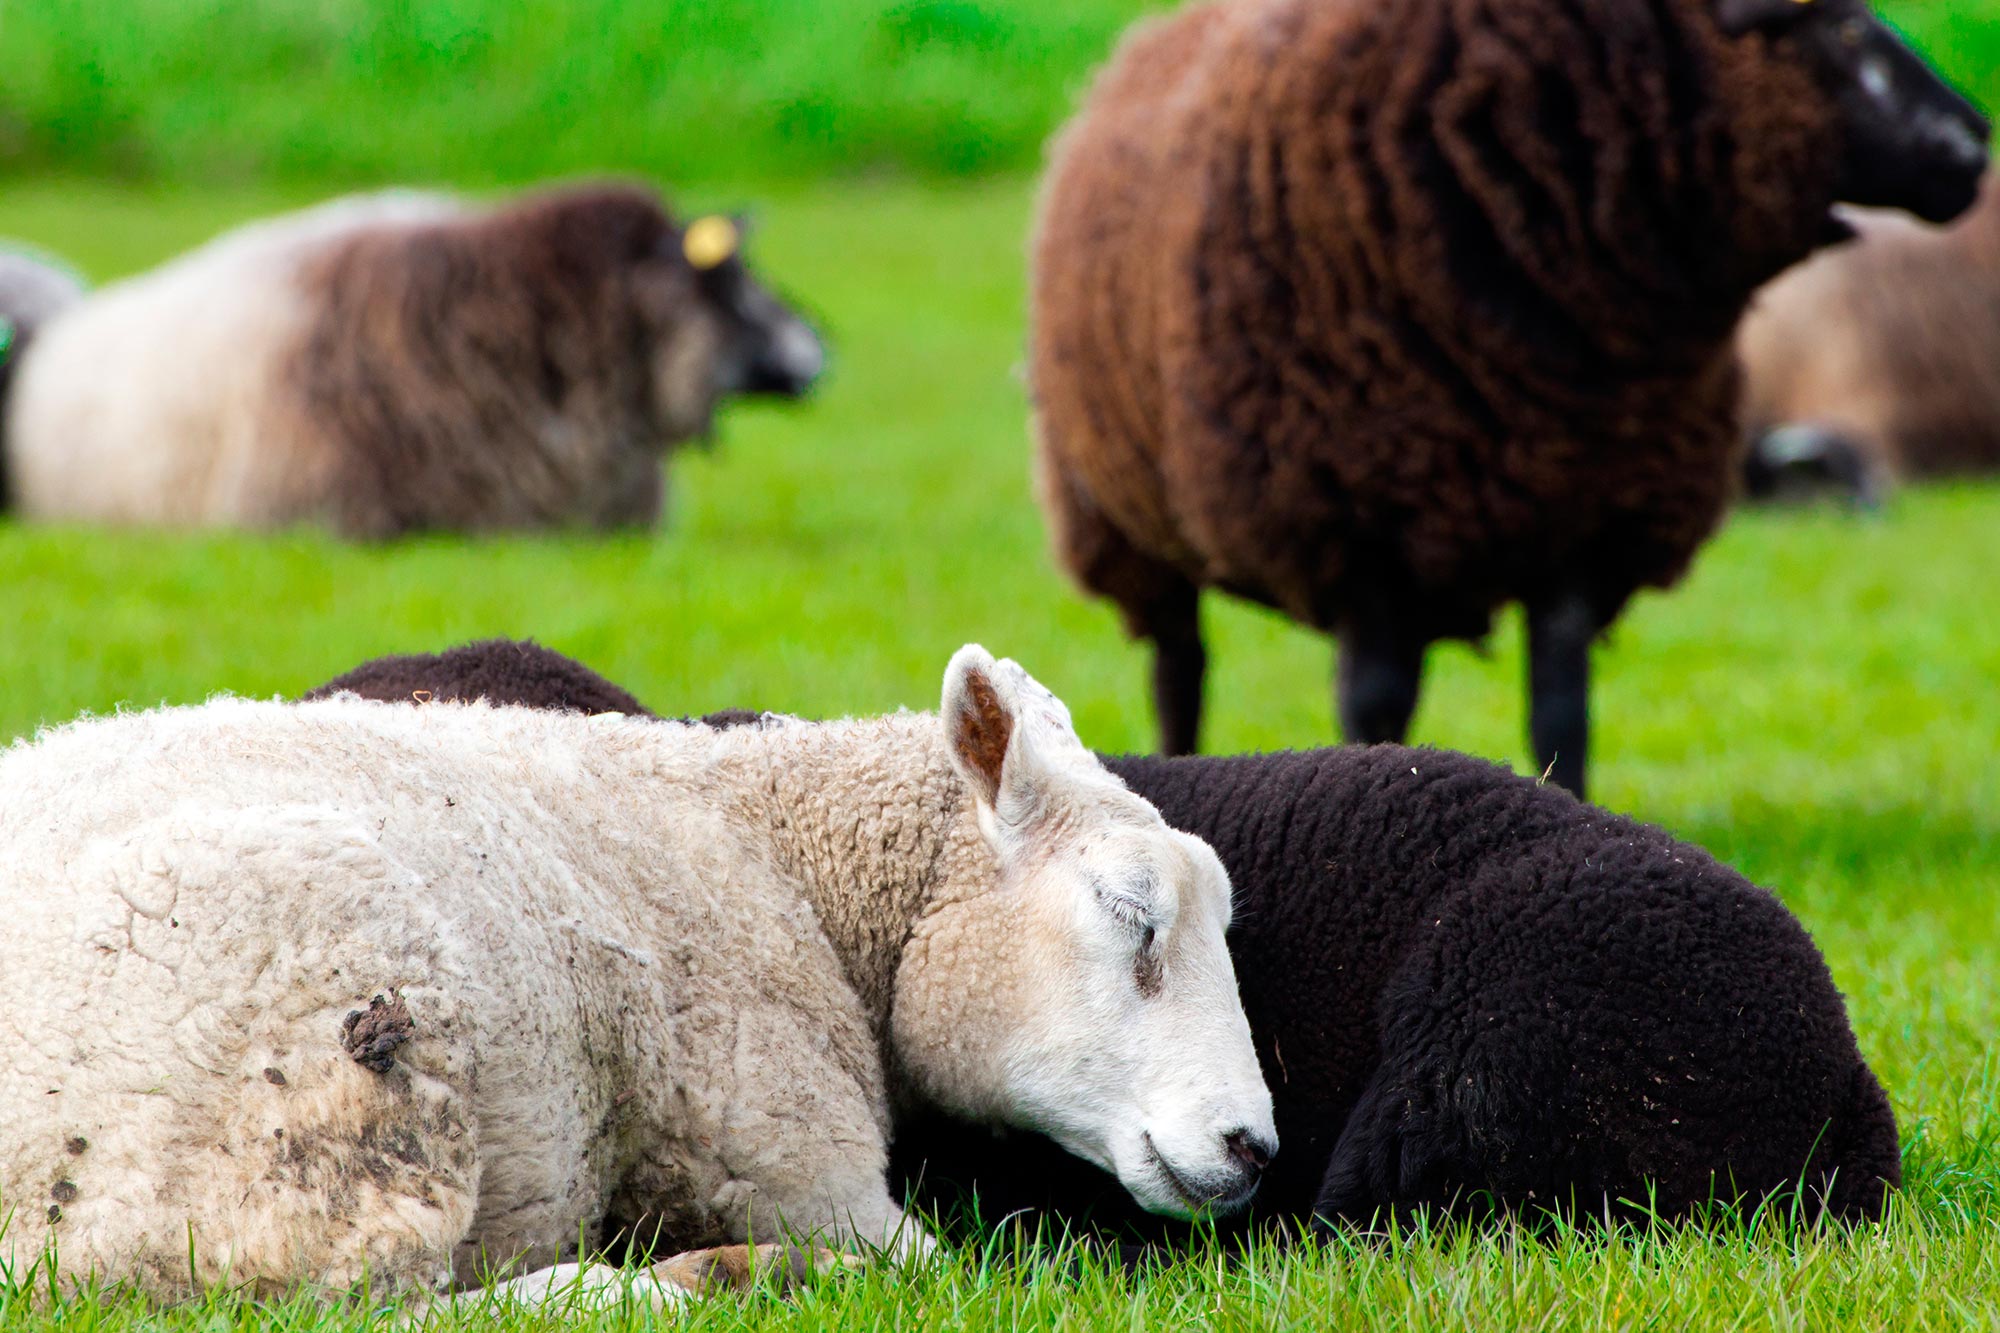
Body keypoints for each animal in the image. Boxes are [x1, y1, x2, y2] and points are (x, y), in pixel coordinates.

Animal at [0, 646, 1276, 1304]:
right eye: (1132, 915)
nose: (1253, 1148)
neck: (779, 854)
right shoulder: (783, 1143)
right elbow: (955, 1273)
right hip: (311, 1134)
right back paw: (699, 1279)